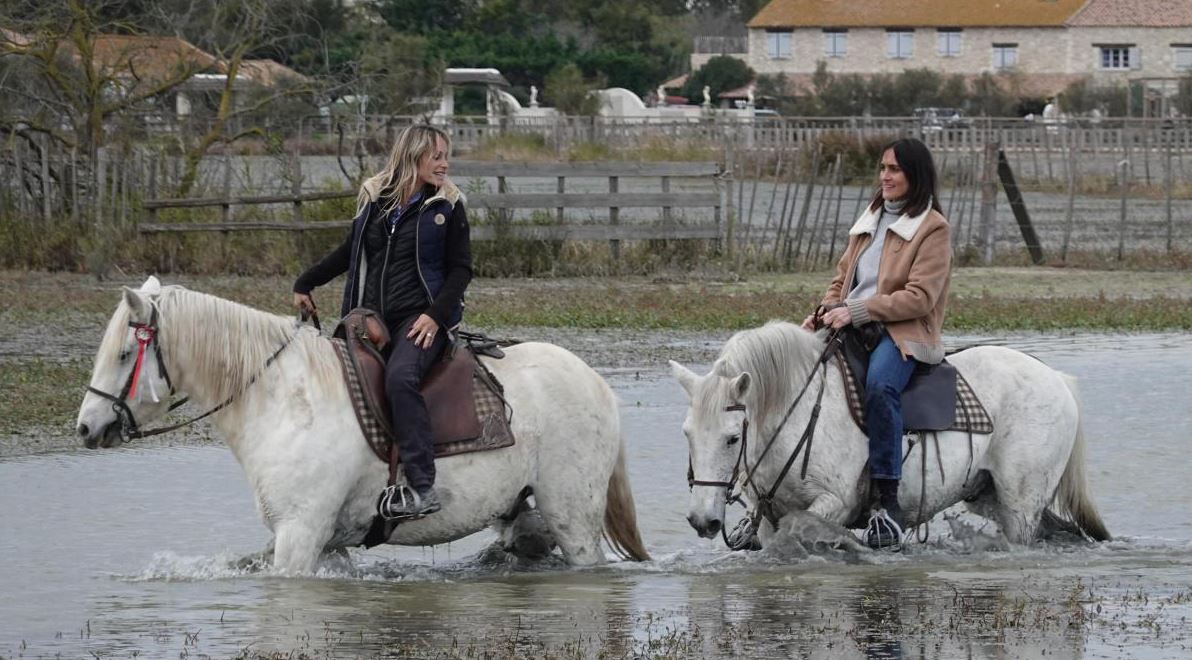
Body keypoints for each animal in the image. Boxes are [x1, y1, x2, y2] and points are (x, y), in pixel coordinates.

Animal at [74, 275, 653, 571]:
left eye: (125, 353)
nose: (86, 427)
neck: (286, 399)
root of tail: (595, 381)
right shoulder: (317, 540)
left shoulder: (301, 534)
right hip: (524, 517)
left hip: (574, 519)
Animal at [672, 321, 1106, 548]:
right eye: (687, 435)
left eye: (732, 438)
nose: (702, 520)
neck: (799, 410)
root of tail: (1056, 379)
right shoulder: (769, 515)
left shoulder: (833, 504)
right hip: (990, 495)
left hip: (1021, 504)